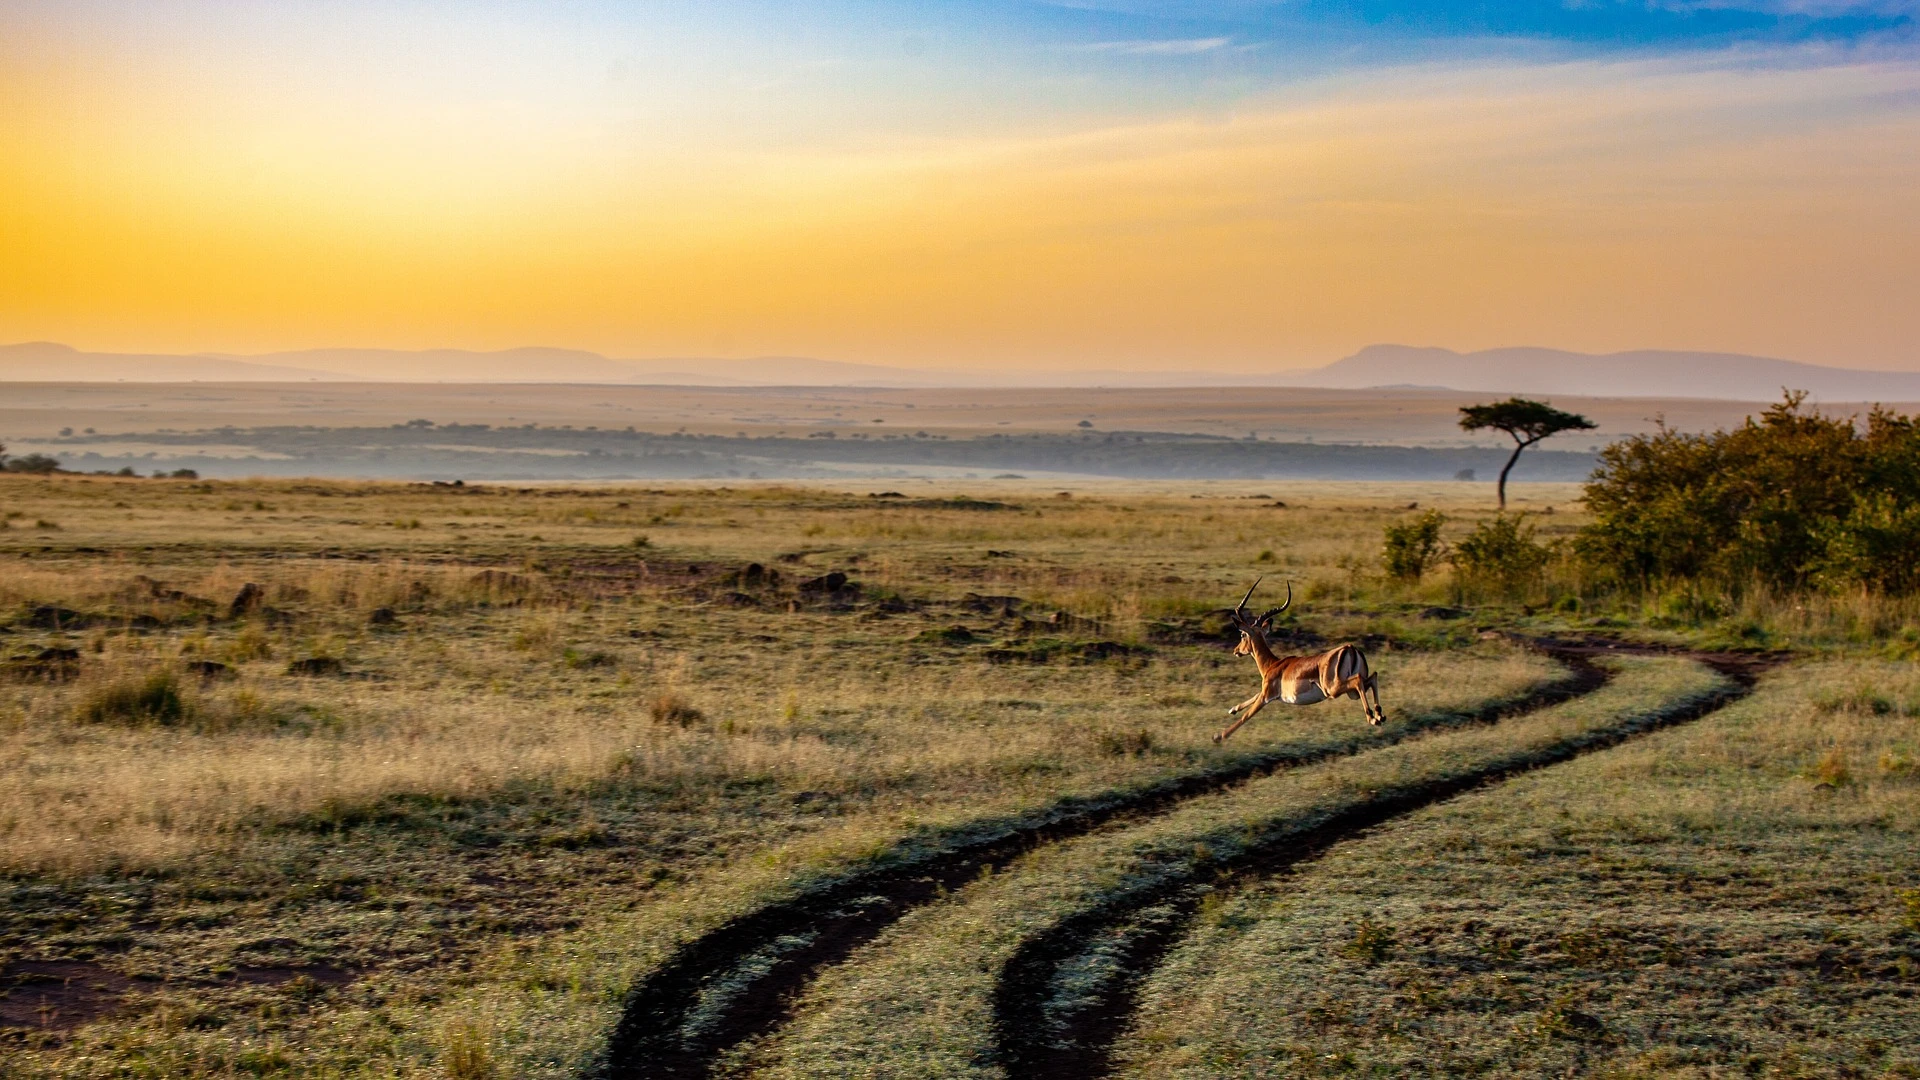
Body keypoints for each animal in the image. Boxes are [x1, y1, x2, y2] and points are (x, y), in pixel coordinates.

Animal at [1213, 580, 1382, 737]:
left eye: (1242, 635)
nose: (1236, 651)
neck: (1272, 665)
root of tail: (1350, 648)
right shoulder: (1267, 694)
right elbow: (1253, 696)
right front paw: (1232, 709)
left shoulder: (1267, 696)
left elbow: (1246, 716)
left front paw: (1219, 736)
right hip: (1351, 692)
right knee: (1372, 677)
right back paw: (1379, 716)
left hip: (1332, 689)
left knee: (1359, 680)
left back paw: (1373, 718)